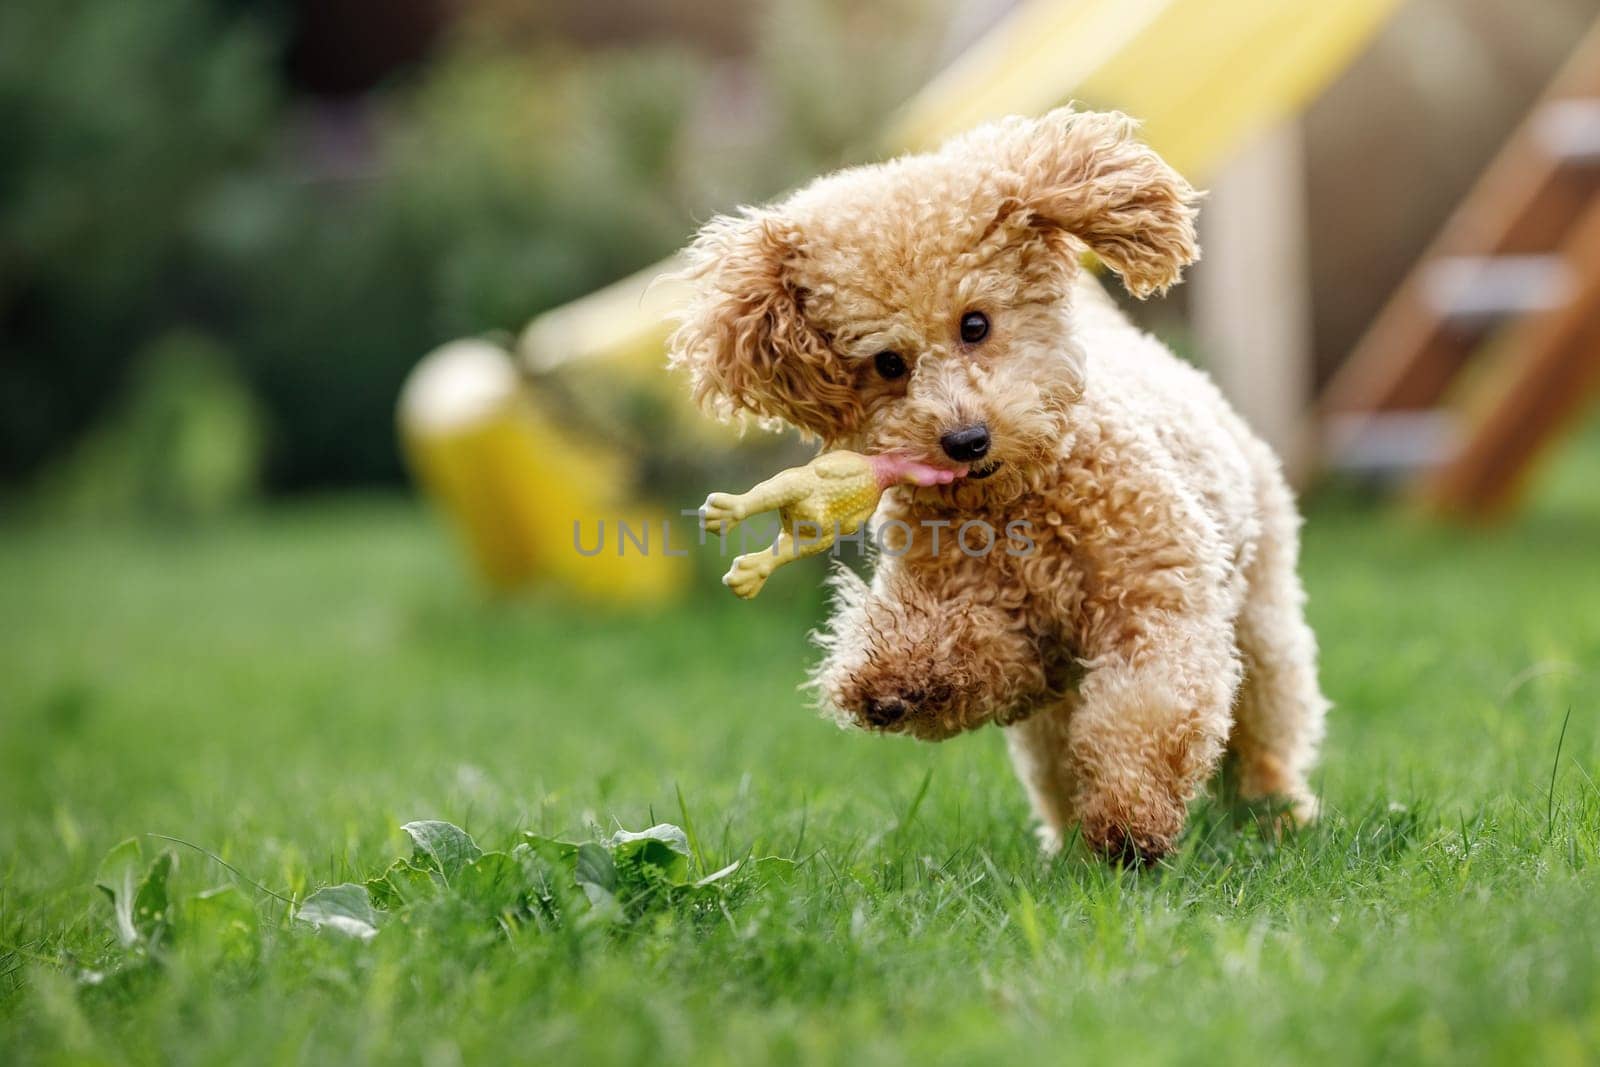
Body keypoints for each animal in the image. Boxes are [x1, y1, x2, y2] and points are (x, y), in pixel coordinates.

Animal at [665, 103, 1324, 863]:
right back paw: (1070, 842)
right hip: (1057, 718)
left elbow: (1149, 706)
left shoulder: (1157, 600)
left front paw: (1130, 819)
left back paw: (1274, 811)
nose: (966, 439)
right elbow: (973, 653)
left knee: (1265, 723)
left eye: (975, 323)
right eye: (887, 363)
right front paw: (894, 681)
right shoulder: (1003, 633)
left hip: (1261, 618)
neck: (1017, 503)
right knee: (1059, 759)